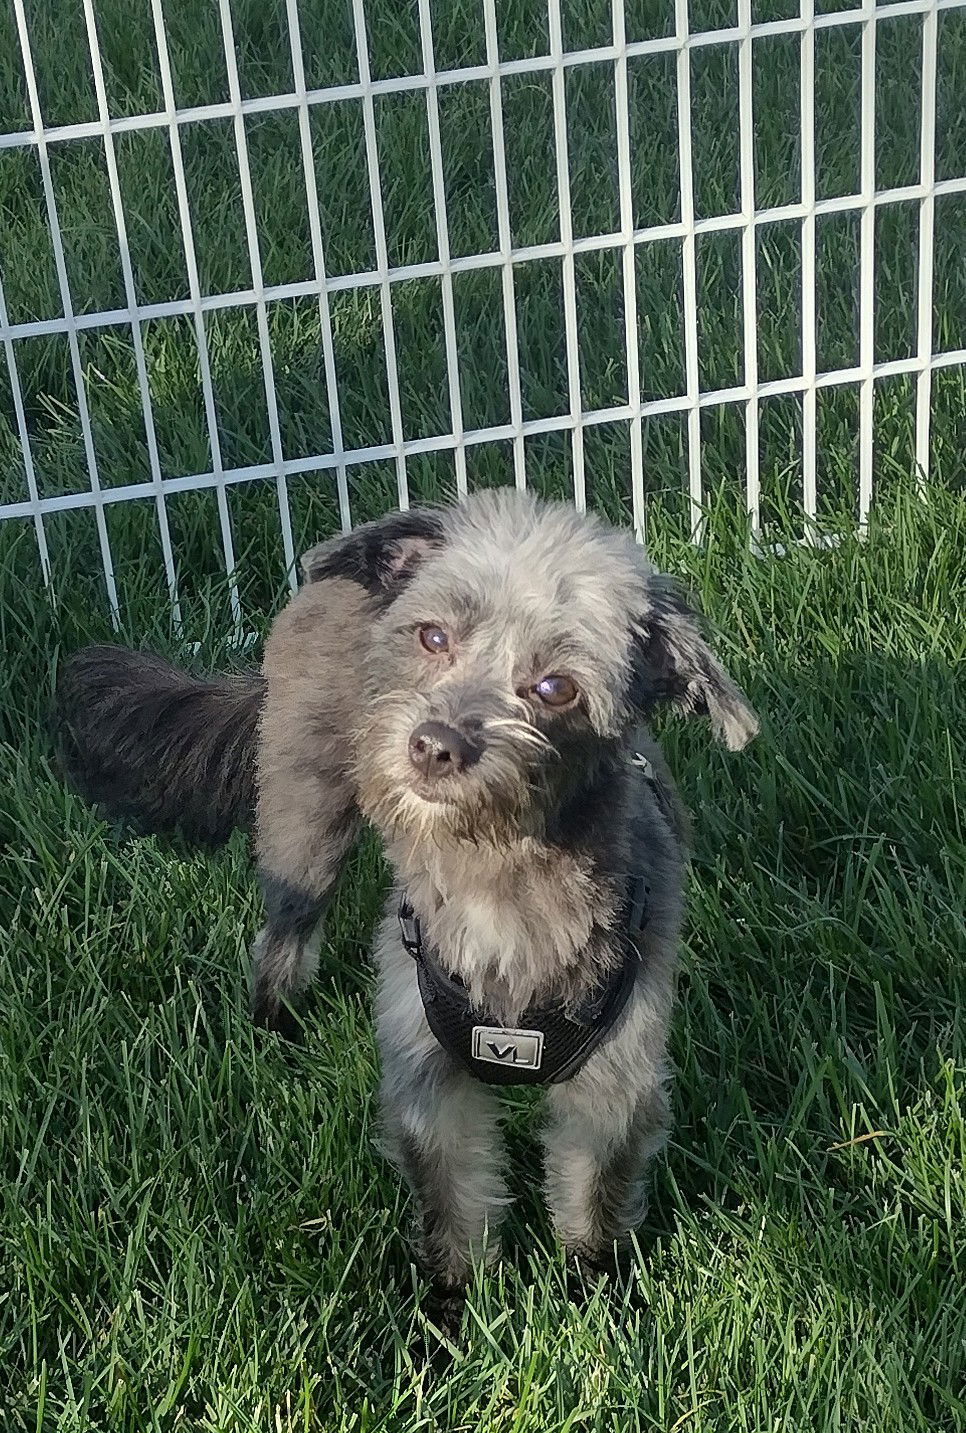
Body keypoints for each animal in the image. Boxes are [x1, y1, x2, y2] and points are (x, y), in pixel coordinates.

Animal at [56, 490, 756, 1289]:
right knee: (284, 933)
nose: (435, 745)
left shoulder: (615, 1078)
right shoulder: (427, 1073)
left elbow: (592, 1205)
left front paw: (592, 1293)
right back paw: (273, 1025)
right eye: (432, 636)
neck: (497, 875)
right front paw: (453, 1305)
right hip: (305, 814)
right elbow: (451, 1208)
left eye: (556, 687)